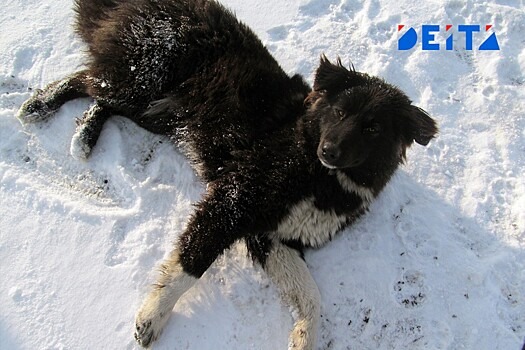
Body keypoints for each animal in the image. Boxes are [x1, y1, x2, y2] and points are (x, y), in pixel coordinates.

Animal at [16, 0, 436, 350]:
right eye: (338, 112)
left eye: (373, 128)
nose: (329, 151)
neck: (320, 176)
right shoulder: (234, 198)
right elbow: (191, 262)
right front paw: (153, 316)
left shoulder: (273, 238)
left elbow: (311, 297)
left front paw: (303, 337)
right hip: (146, 80)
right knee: (89, 80)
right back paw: (44, 107)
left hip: (156, 111)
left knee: (100, 94)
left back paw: (82, 134)